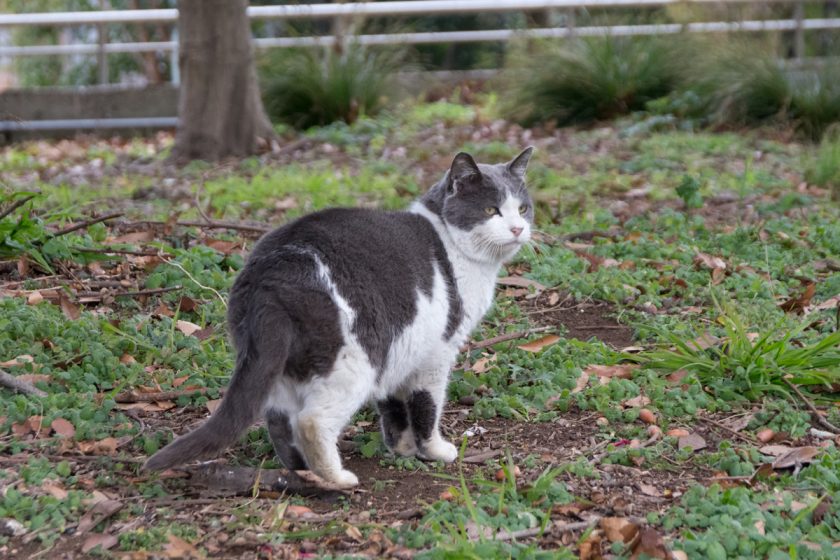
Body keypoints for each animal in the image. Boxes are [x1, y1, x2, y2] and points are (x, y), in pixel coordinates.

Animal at [145, 147, 536, 488]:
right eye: (491, 209)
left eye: (523, 208)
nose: (518, 229)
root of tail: (269, 275)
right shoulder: (435, 352)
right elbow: (426, 405)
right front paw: (435, 450)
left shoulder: (401, 346)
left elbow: (393, 406)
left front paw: (402, 448)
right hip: (352, 361)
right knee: (311, 421)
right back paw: (337, 478)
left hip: (285, 364)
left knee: (279, 419)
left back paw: (303, 472)